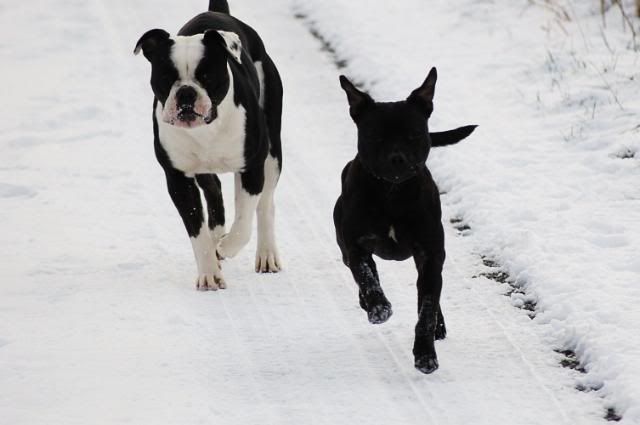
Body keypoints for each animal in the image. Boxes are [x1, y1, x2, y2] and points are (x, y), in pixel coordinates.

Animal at [134, 0, 282, 288]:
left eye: (206, 75)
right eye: (166, 76)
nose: (186, 93)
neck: (207, 129)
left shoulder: (251, 167)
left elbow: (244, 222)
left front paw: (226, 247)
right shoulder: (178, 178)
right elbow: (196, 228)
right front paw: (209, 273)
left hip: (272, 153)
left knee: (265, 204)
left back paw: (266, 255)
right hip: (203, 169)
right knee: (214, 191)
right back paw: (217, 239)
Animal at [336, 68, 476, 372]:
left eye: (413, 134)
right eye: (375, 136)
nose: (397, 158)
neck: (392, 193)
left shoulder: (430, 254)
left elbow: (427, 307)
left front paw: (425, 354)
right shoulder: (355, 245)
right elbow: (366, 276)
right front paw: (378, 306)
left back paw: (438, 326)